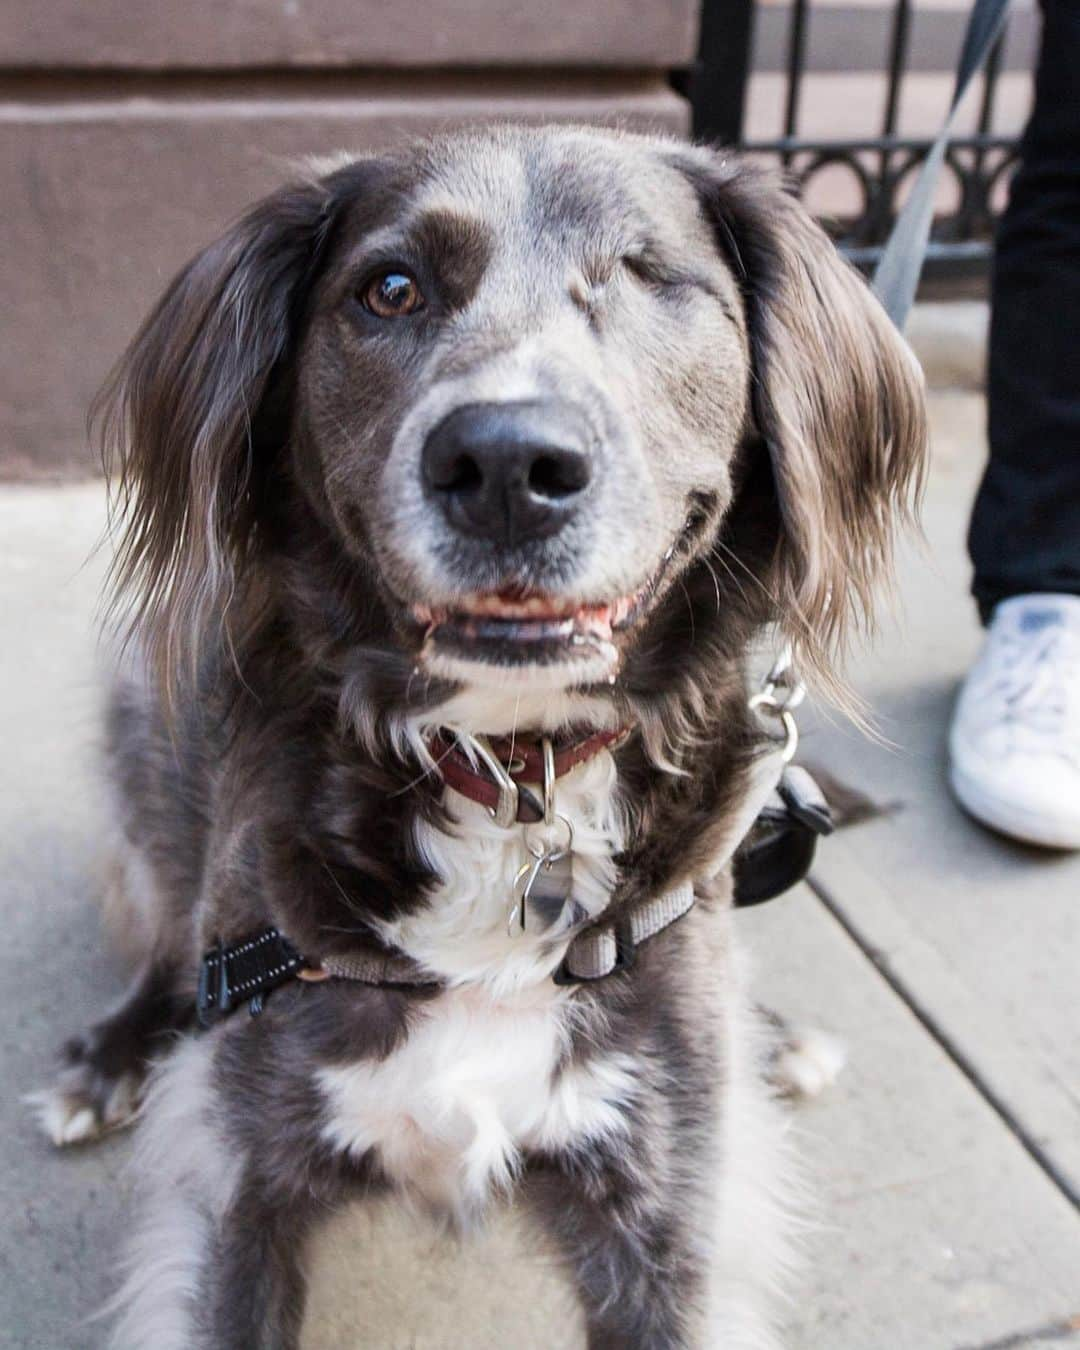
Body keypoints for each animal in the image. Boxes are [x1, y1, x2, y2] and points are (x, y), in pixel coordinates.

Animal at [37, 126, 923, 1350]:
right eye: (390, 289)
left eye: (646, 276)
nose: (506, 464)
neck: (511, 774)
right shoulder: (230, 1183)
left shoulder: (670, 1215)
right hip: (144, 743)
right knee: (166, 937)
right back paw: (109, 1058)